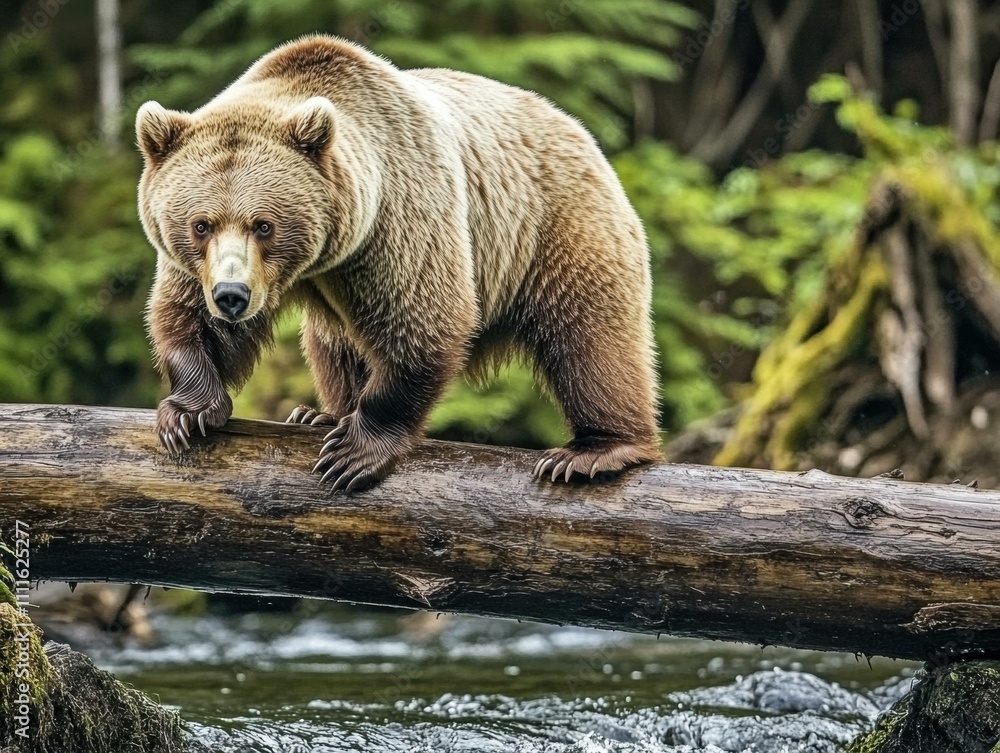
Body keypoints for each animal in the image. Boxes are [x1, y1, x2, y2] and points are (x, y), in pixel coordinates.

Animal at [136, 34, 661, 492]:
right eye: (201, 224)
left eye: (263, 224)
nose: (232, 295)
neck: (321, 260)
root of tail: (577, 128)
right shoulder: (205, 266)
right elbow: (188, 314)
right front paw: (187, 413)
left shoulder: (397, 215)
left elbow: (424, 319)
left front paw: (354, 453)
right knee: (331, 342)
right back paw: (321, 412)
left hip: (556, 227)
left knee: (591, 338)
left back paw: (593, 452)